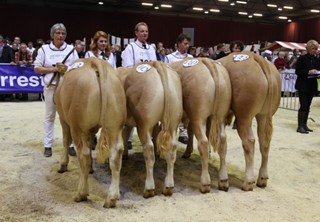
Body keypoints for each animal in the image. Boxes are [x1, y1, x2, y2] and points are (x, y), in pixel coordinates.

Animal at [54, 57, 125, 208]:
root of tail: (95, 62)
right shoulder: (91, 129)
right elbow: (91, 140)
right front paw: (92, 169)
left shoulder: (63, 119)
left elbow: (65, 140)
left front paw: (63, 164)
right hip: (115, 125)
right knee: (116, 154)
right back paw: (111, 198)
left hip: (77, 126)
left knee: (84, 154)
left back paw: (81, 193)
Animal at [117, 60, 182, 198]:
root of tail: (156, 64)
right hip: (174, 120)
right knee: (172, 149)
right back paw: (168, 186)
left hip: (144, 123)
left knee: (149, 150)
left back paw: (149, 188)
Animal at [170, 57, 232, 193]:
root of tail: (207, 61)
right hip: (220, 115)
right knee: (222, 141)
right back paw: (223, 180)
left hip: (199, 116)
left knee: (203, 141)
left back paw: (205, 183)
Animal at [219, 51, 282, 191]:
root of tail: (255, 57)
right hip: (264, 115)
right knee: (264, 142)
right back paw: (262, 179)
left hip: (244, 116)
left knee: (249, 141)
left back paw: (248, 181)